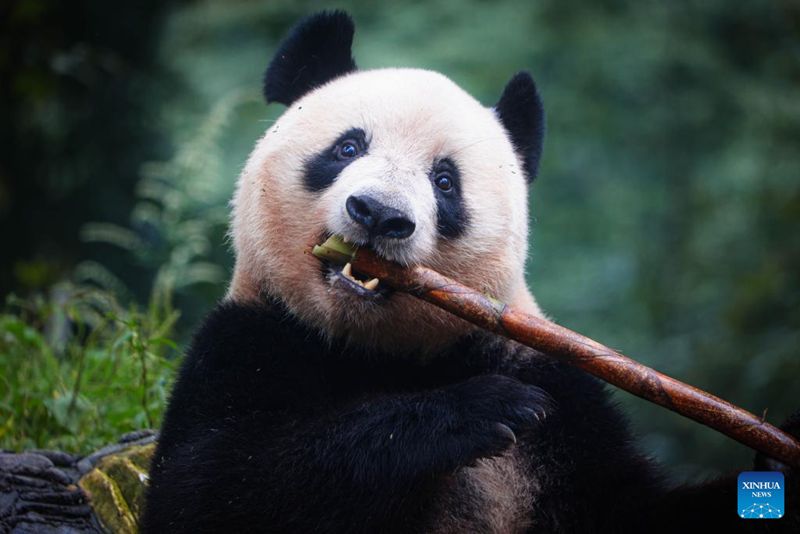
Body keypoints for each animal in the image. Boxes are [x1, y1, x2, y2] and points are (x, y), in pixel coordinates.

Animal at [142, 11, 799, 534]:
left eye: (445, 181)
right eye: (348, 148)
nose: (378, 214)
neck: (374, 350)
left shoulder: (556, 389)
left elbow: (630, 509)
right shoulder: (249, 342)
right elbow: (210, 492)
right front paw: (481, 410)